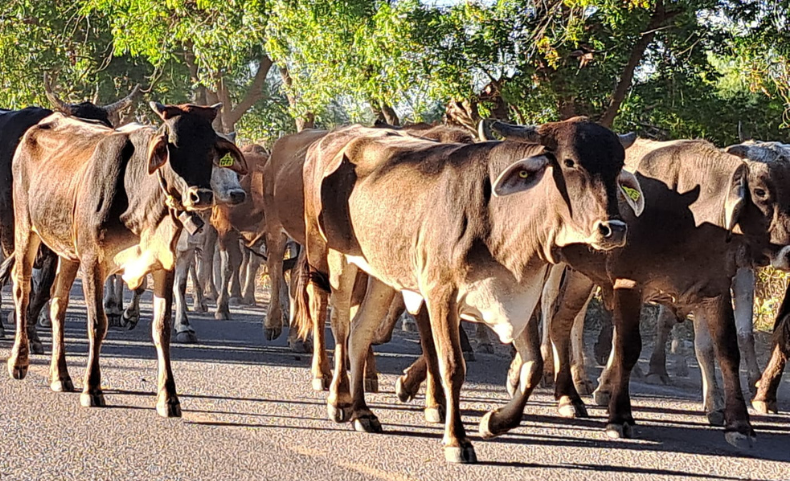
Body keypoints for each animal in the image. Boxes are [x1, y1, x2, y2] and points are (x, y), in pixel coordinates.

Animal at [2, 102, 247, 417]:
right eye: (171, 145)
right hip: (26, 230)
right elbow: (97, 323)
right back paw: (19, 361)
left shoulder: (165, 264)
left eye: (211, 150)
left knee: (57, 303)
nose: (200, 195)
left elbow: (161, 328)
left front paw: (168, 398)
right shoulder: (93, 261)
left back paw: (61, 375)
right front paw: (92, 389)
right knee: (22, 290)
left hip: (66, 252)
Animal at [297, 118, 642, 463]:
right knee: (338, 324)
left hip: (384, 274)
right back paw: (339, 399)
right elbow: (452, 366)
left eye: (617, 167)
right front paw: (456, 439)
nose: (613, 229)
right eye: (570, 162)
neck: (498, 216)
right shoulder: (441, 295)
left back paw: (362, 412)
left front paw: (494, 422)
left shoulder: (521, 299)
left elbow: (532, 366)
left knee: (360, 332)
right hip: (332, 254)